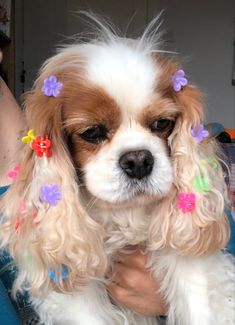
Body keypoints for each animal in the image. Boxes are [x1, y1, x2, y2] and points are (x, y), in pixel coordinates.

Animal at [0, 13, 235, 322]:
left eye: (162, 123)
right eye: (92, 132)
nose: (138, 160)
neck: (125, 215)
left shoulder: (194, 266)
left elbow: (200, 310)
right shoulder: (73, 289)